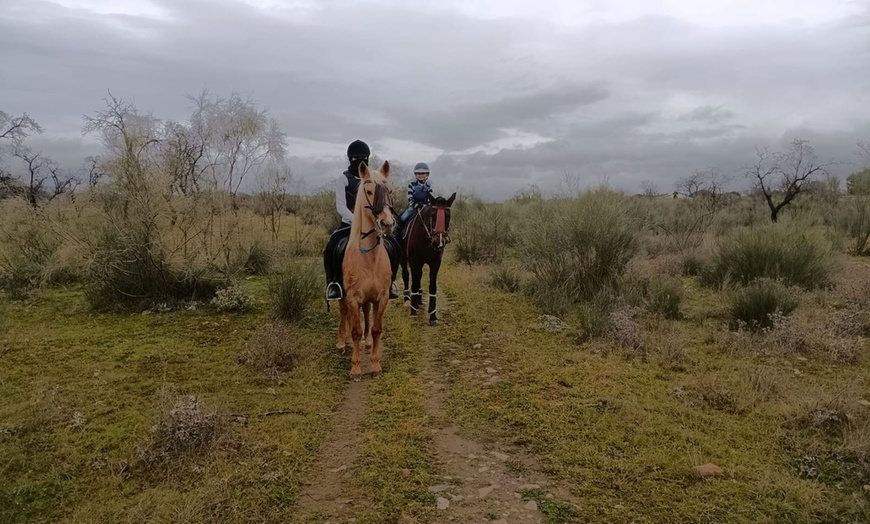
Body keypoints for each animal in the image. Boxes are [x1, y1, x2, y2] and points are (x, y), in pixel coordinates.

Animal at [338, 160, 398, 380]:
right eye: (370, 191)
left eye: (390, 191)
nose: (387, 223)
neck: (369, 258)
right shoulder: (353, 297)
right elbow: (355, 330)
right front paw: (355, 369)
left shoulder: (382, 297)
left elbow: (376, 329)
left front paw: (375, 366)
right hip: (342, 296)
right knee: (343, 313)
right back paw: (342, 342)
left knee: (366, 313)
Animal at [400, 192, 456, 324]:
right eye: (433, 214)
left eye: (447, 215)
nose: (438, 241)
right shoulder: (414, 261)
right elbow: (414, 283)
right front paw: (413, 311)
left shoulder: (435, 263)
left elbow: (432, 287)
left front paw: (432, 315)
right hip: (403, 258)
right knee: (406, 275)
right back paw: (407, 300)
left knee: (419, 276)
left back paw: (419, 301)